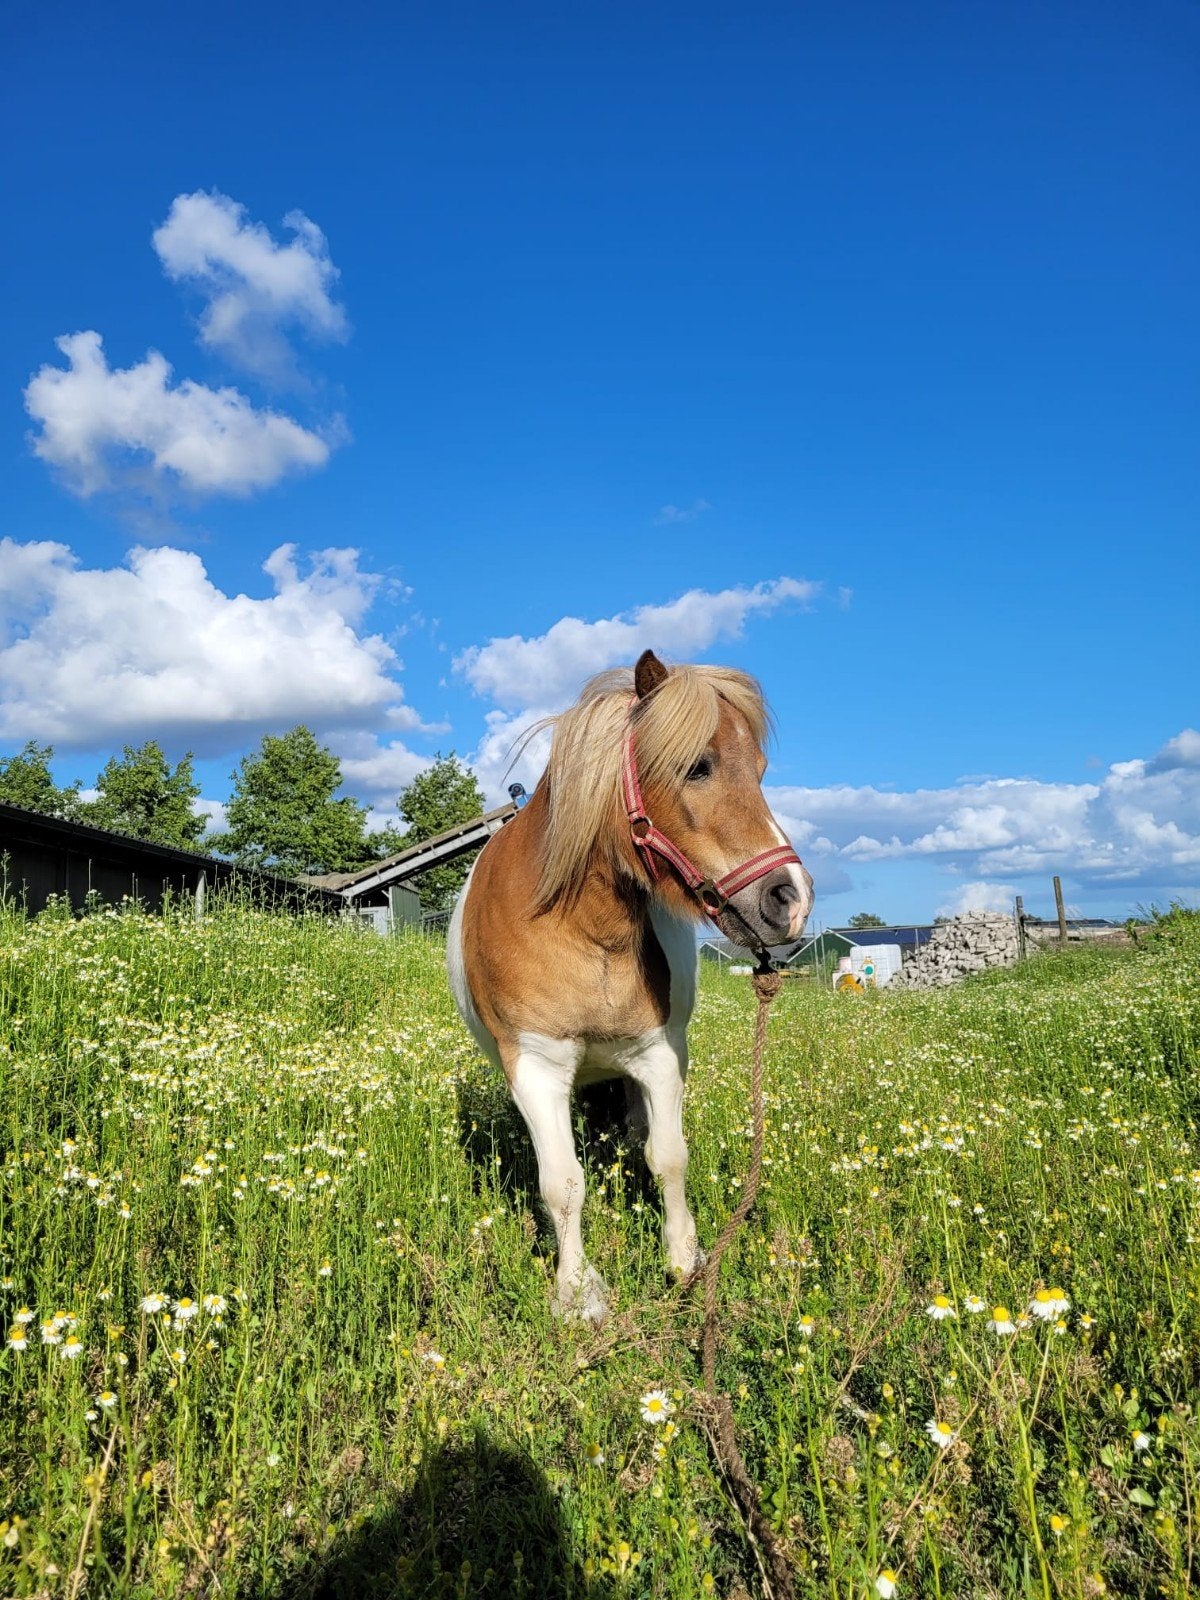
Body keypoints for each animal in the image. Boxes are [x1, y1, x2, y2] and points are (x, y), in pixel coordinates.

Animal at [448, 650, 813, 1326]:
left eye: (760, 771)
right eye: (698, 766)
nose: (790, 898)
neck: (580, 928)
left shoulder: (658, 1056)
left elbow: (668, 1156)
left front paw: (685, 1259)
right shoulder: (536, 1067)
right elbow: (562, 1183)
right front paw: (576, 1293)